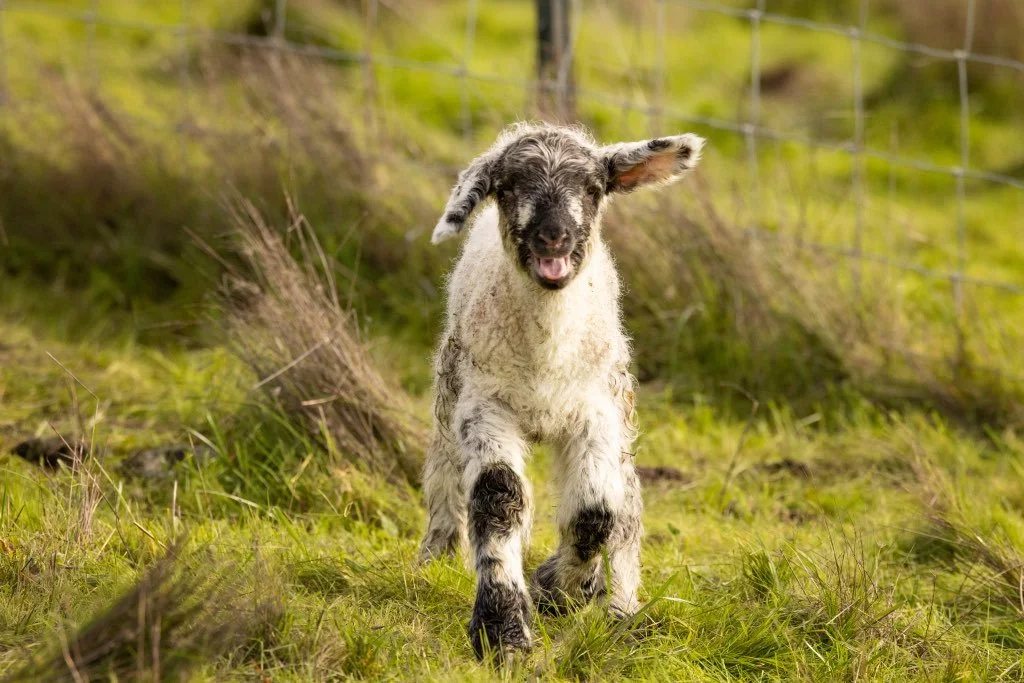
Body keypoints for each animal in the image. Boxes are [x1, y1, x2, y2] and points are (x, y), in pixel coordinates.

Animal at [419, 122, 705, 659]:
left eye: (594, 190)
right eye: (507, 187)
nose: (554, 237)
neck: (545, 358)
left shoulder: (595, 414)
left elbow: (595, 513)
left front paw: (563, 587)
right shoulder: (485, 405)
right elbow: (497, 496)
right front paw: (503, 629)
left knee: (624, 510)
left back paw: (622, 608)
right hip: (450, 392)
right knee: (444, 484)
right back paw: (434, 558)